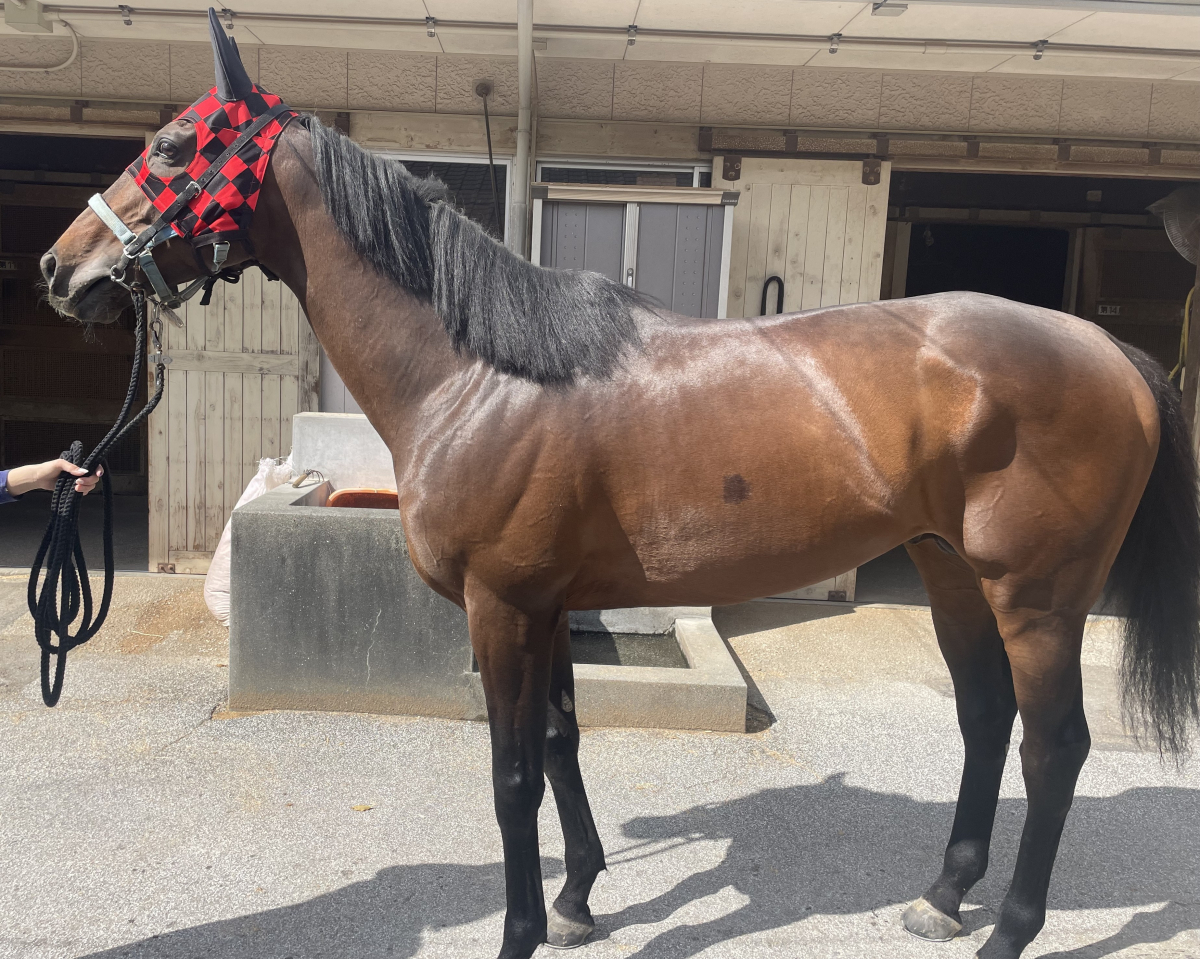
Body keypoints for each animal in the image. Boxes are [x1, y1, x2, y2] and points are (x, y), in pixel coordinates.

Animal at [39, 14, 1200, 959]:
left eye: (173, 146)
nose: (61, 269)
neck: (480, 373)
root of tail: (1111, 352)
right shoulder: (548, 603)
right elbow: (562, 741)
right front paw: (578, 901)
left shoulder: (503, 606)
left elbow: (511, 776)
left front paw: (520, 928)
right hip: (951, 568)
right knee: (986, 717)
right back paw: (943, 896)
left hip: (1037, 596)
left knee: (1056, 745)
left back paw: (1008, 926)